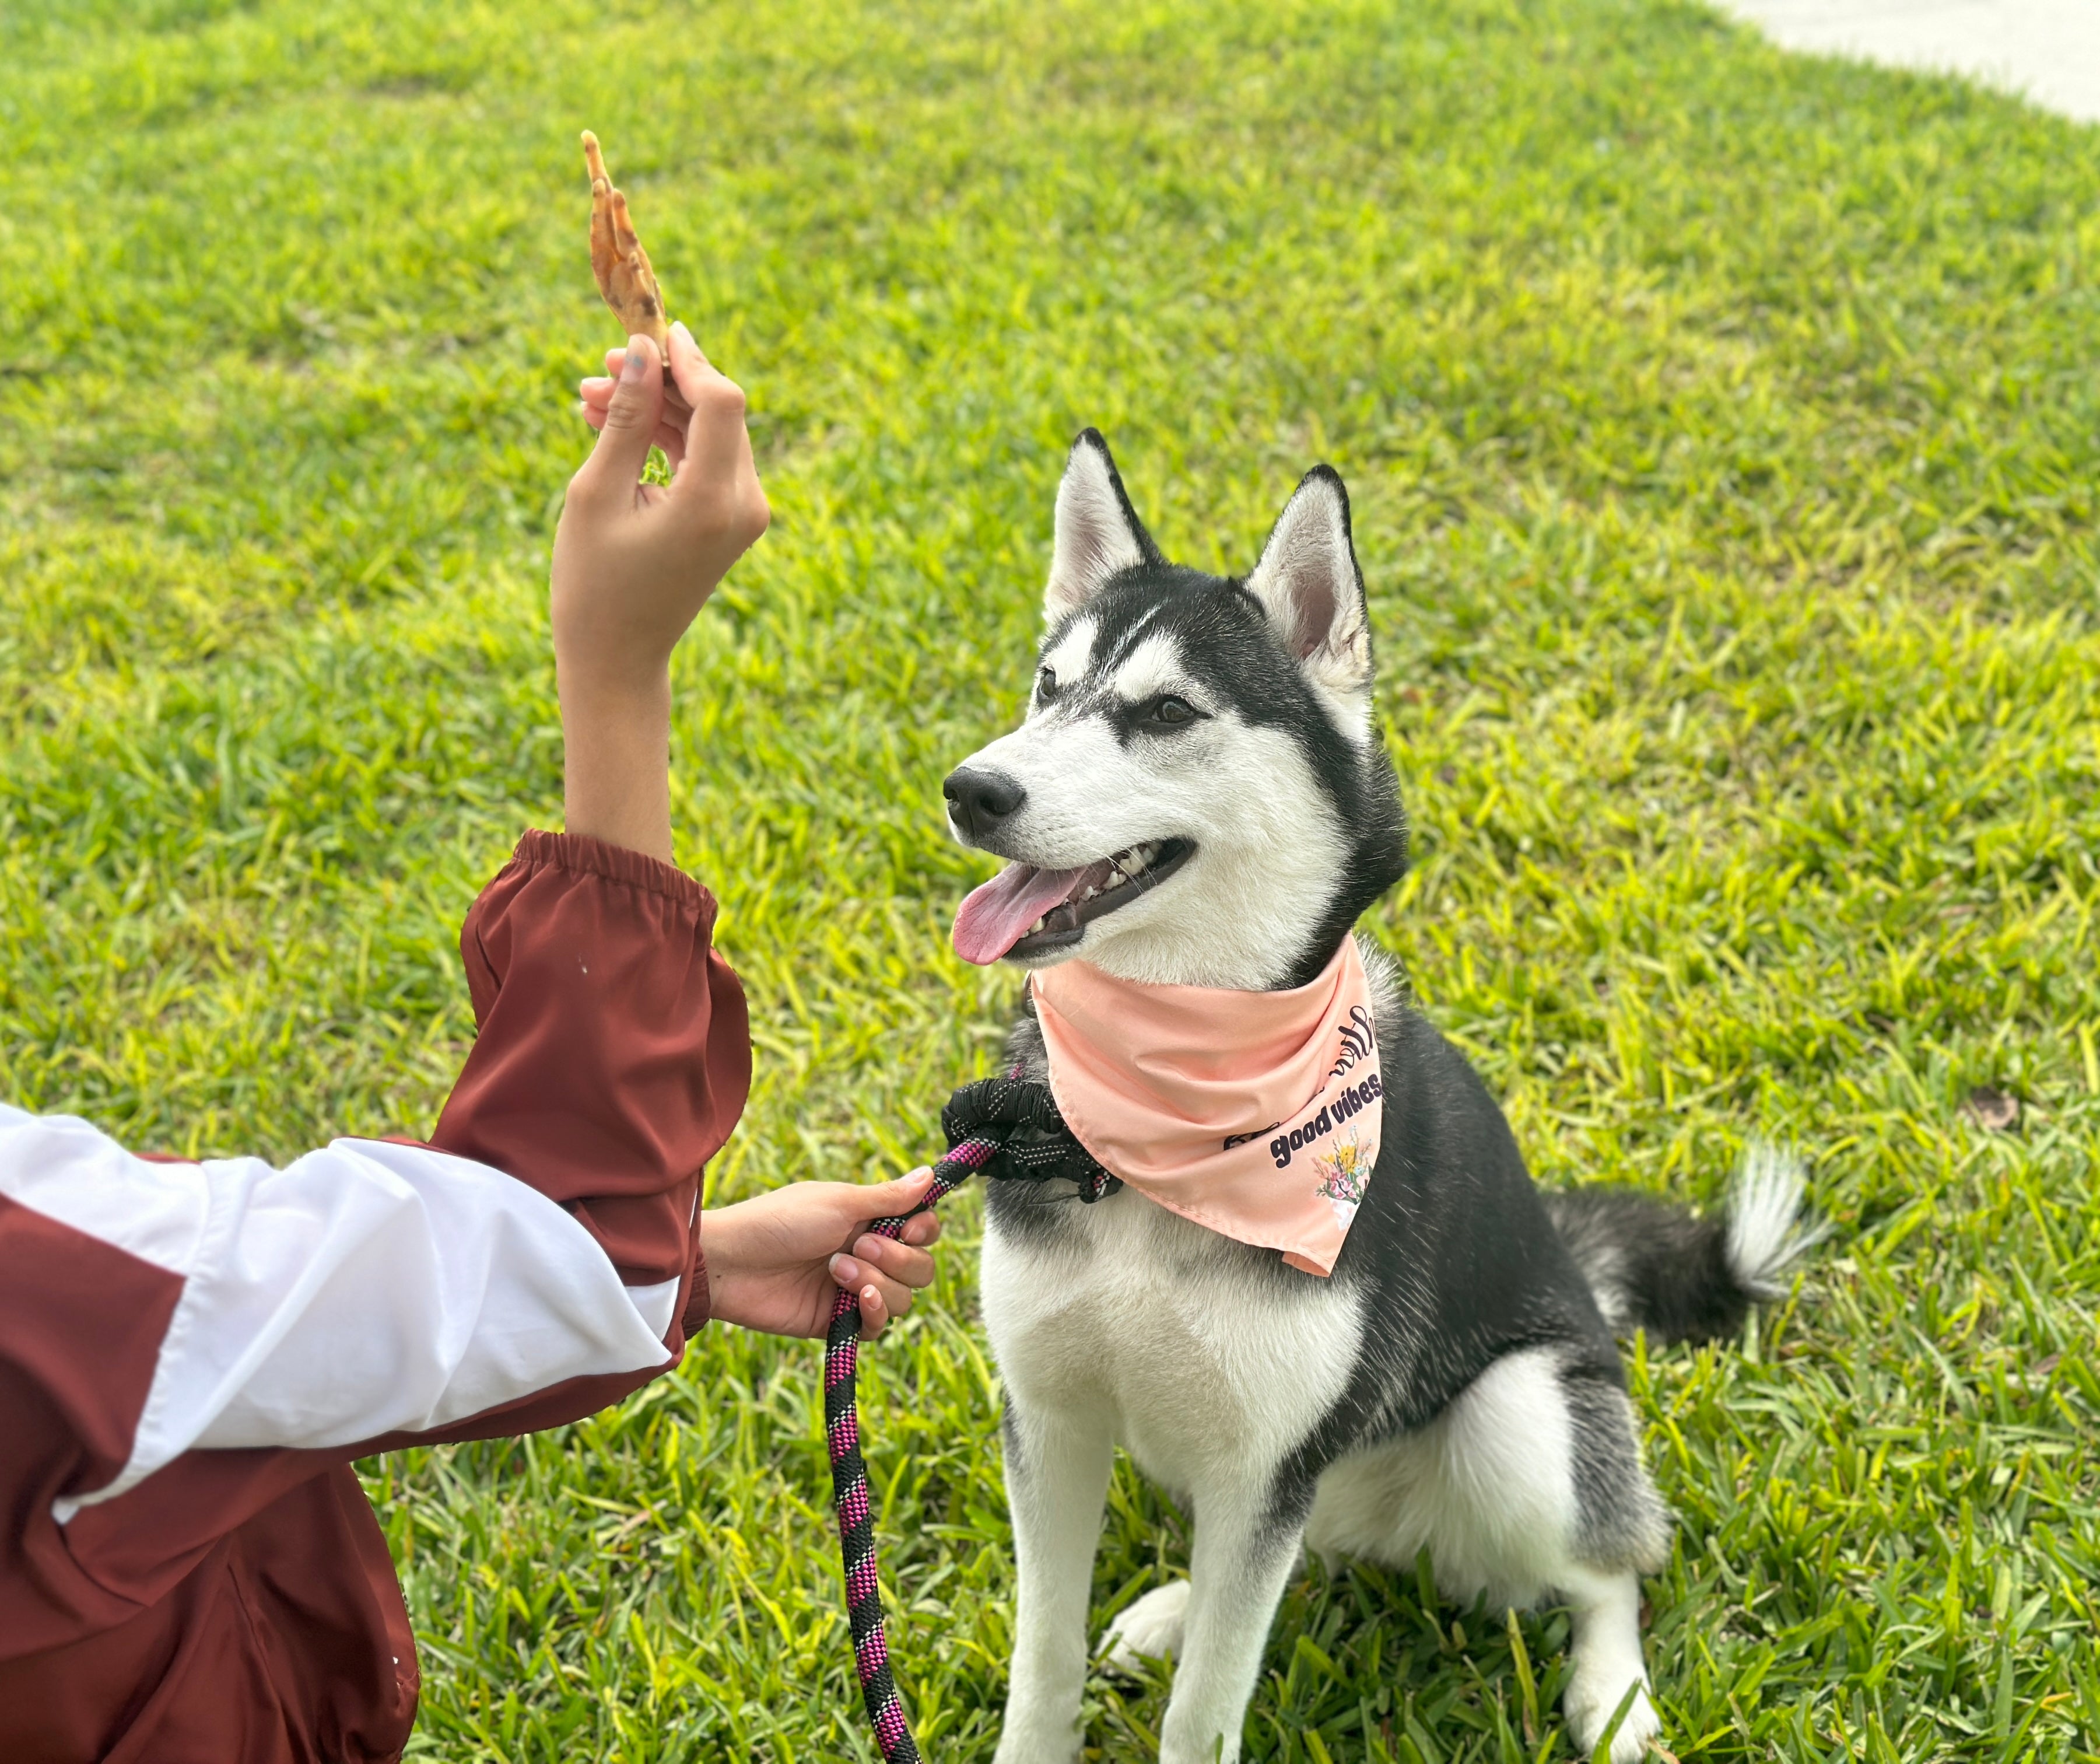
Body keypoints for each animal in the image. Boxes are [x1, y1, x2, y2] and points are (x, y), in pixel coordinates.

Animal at [945, 430, 1814, 1764]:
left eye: (1165, 712)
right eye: (1048, 687)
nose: (971, 790)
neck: (1167, 1109)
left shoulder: (1267, 1462)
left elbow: (1206, 1711)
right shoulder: (1052, 1417)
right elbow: (1044, 1664)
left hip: (1515, 1422)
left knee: (1612, 1566)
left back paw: (1611, 1695)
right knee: (1293, 1556)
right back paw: (1175, 1604)